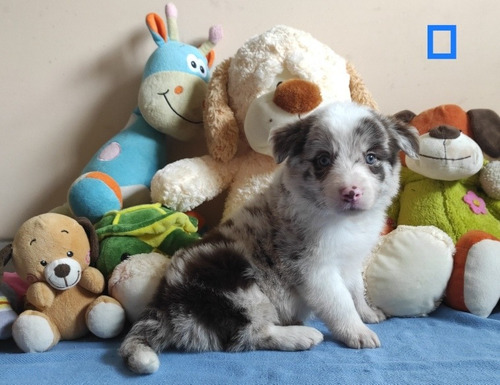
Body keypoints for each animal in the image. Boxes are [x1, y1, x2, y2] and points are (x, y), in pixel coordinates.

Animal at [119, 101, 420, 372]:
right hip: (235, 282)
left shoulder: (351, 259)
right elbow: (339, 301)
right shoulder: (313, 268)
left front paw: (367, 314)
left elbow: (356, 290)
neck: (341, 221)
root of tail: (162, 304)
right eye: (323, 160)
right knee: (246, 336)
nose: (351, 192)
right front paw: (356, 332)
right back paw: (300, 336)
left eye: (371, 158)